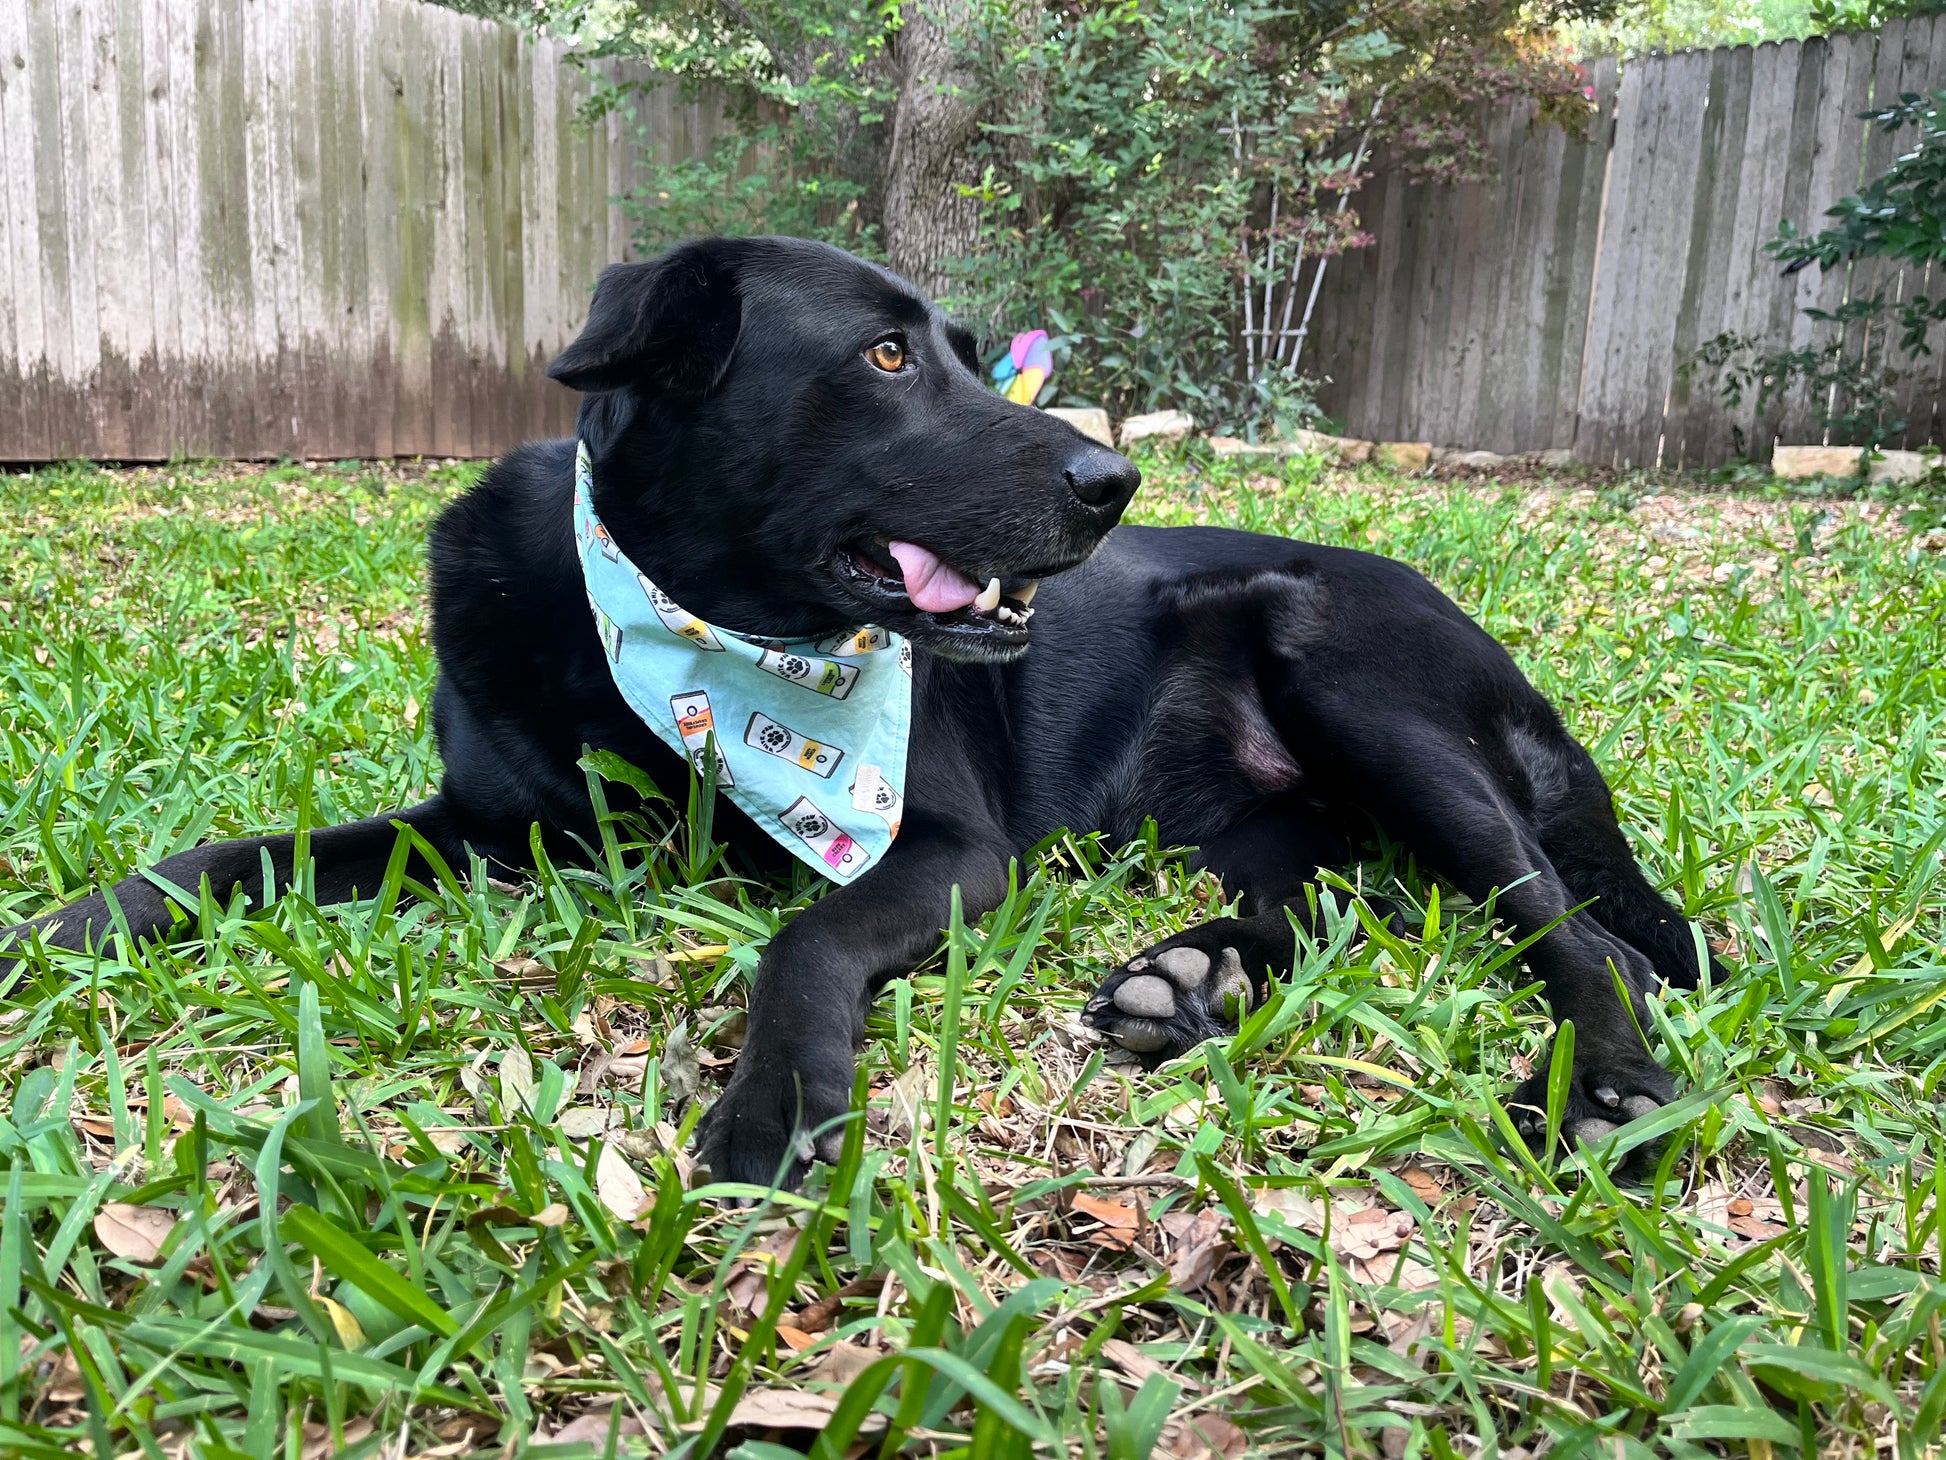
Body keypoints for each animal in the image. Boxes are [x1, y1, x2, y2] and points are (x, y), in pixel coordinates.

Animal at [0, 237, 1712, 1191]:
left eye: (960, 350)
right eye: (886, 354)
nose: (1114, 481)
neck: (697, 642)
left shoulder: (942, 848)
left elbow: (803, 936)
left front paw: (779, 1102)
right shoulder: (484, 827)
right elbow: (236, 856)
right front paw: (74, 922)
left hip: (1355, 674)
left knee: (1583, 933)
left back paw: (1604, 1091)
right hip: (1250, 816)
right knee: (1336, 907)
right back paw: (1193, 981)